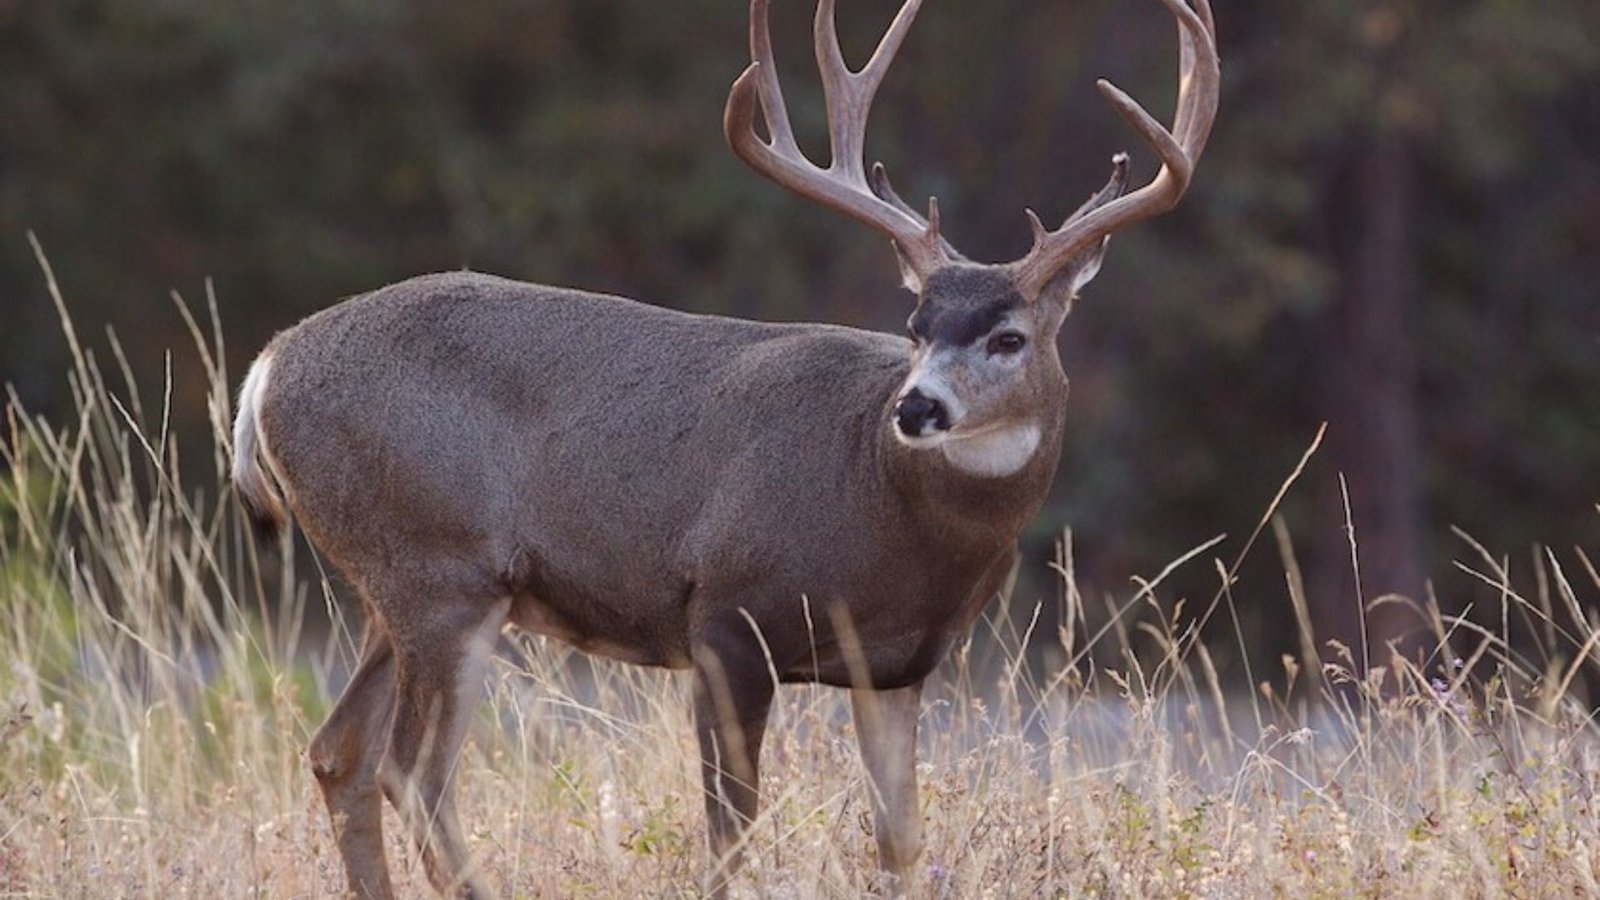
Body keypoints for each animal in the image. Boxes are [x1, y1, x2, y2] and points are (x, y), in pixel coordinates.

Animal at [232, 0, 1216, 890]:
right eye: (916, 325)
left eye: (1009, 337)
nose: (916, 408)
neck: (881, 502)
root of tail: (265, 368)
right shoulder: (728, 615)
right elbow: (729, 833)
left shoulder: (897, 667)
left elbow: (899, 845)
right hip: (441, 570)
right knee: (412, 772)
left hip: (393, 588)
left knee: (338, 754)